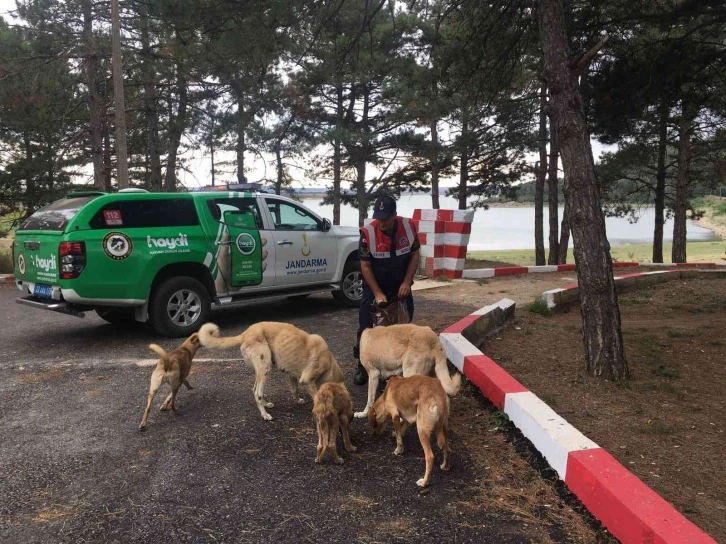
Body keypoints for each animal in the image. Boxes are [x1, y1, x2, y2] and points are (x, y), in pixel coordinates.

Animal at [199, 324, 346, 420]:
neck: (328, 361)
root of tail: (245, 334)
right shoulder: (307, 380)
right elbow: (316, 396)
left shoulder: (292, 374)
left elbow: (294, 390)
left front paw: (298, 400)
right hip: (265, 369)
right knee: (258, 393)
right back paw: (264, 415)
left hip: (260, 371)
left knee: (255, 390)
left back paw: (266, 404)